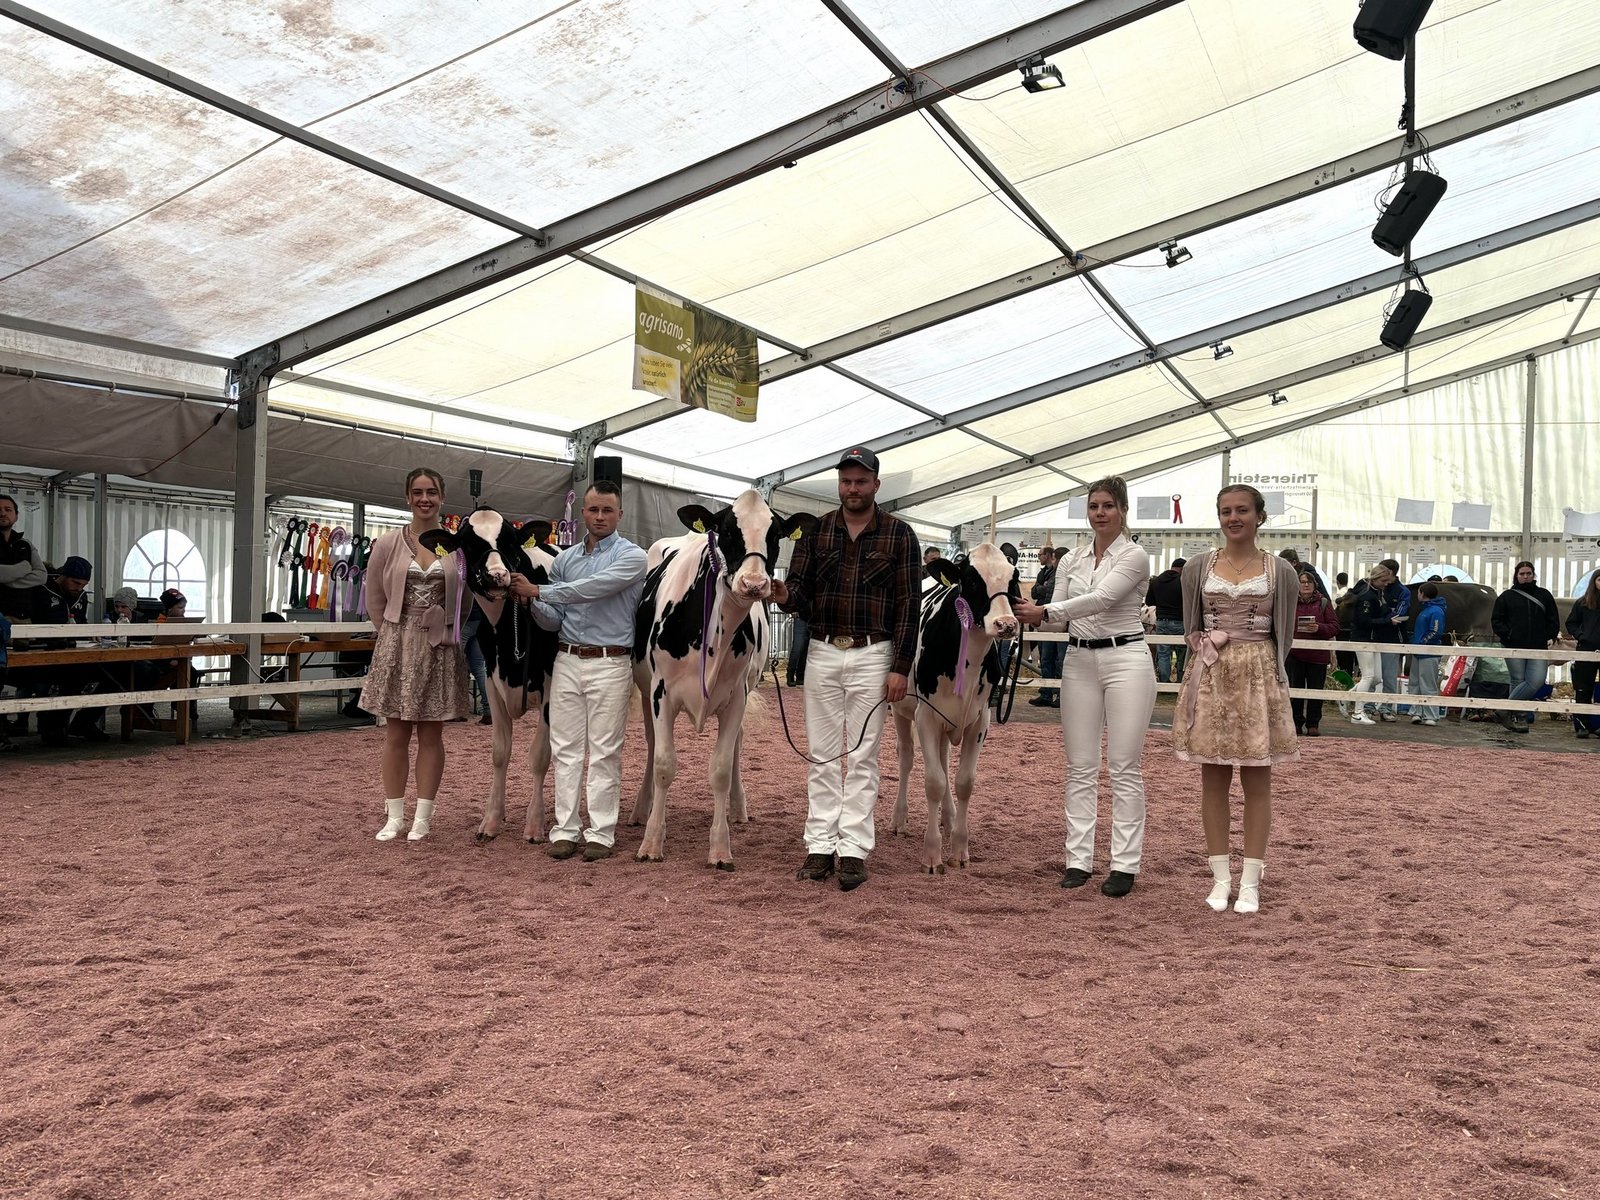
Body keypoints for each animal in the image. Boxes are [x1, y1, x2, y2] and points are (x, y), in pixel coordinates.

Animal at [420, 513, 560, 843]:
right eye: (468, 544)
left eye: (510, 541)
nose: (497, 575)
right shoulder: (492, 682)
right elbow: (499, 753)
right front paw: (492, 820)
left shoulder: (551, 684)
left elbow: (539, 755)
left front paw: (535, 823)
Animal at [630, 491, 817, 869]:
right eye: (727, 531)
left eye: (775, 535)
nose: (755, 584)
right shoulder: (661, 694)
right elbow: (663, 764)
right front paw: (652, 842)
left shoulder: (736, 698)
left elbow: (720, 768)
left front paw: (719, 848)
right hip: (644, 692)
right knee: (652, 745)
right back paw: (642, 809)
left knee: (737, 749)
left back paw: (737, 808)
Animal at [889, 541, 1020, 874]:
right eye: (972, 580)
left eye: (1012, 579)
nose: (1006, 624)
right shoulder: (925, 716)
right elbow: (933, 782)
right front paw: (932, 855)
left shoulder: (980, 720)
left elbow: (964, 782)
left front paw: (960, 848)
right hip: (899, 709)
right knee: (907, 758)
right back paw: (899, 819)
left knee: (944, 760)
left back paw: (947, 820)